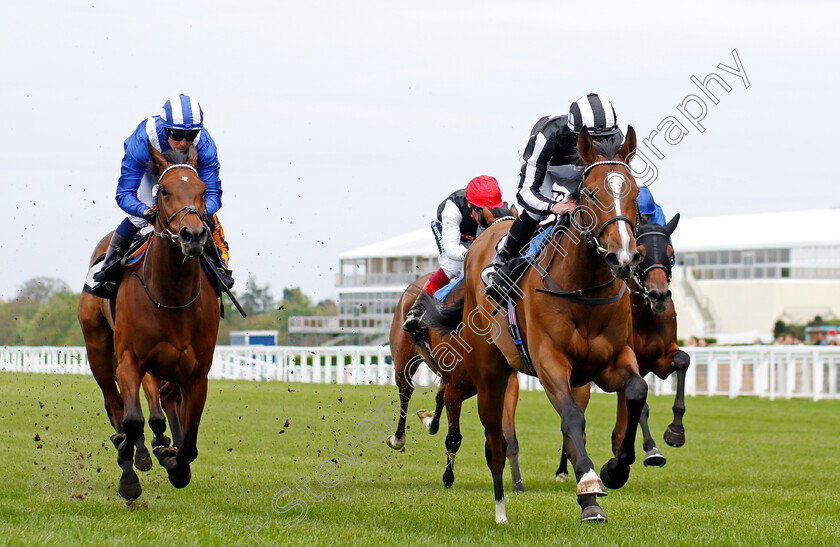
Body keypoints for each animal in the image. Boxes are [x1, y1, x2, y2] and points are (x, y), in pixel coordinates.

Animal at [79, 144, 220, 500]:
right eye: (164, 190)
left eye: (202, 190)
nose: (193, 235)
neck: (172, 295)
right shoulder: (130, 360)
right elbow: (132, 419)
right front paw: (130, 472)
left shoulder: (197, 373)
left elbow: (189, 443)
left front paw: (176, 465)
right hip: (97, 347)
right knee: (115, 404)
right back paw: (129, 450)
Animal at [424, 126, 648, 524]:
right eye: (591, 193)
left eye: (635, 193)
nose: (622, 257)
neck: (583, 288)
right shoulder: (549, 362)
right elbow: (571, 418)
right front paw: (590, 482)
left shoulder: (611, 362)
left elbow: (635, 392)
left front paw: (613, 472)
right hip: (489, 376)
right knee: (494, 442)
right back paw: (500, 511)